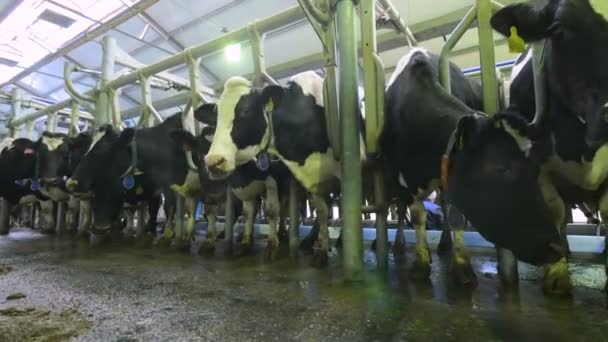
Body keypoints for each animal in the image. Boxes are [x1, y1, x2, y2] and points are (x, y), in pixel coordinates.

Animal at [380, 47, 484, 284]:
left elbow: (455, 215)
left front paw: (462, 267)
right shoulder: (404, 174)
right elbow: (417, 215)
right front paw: (420, 264)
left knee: (443, 205)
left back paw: (445, 243)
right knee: (402, 209)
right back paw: (403, 244)